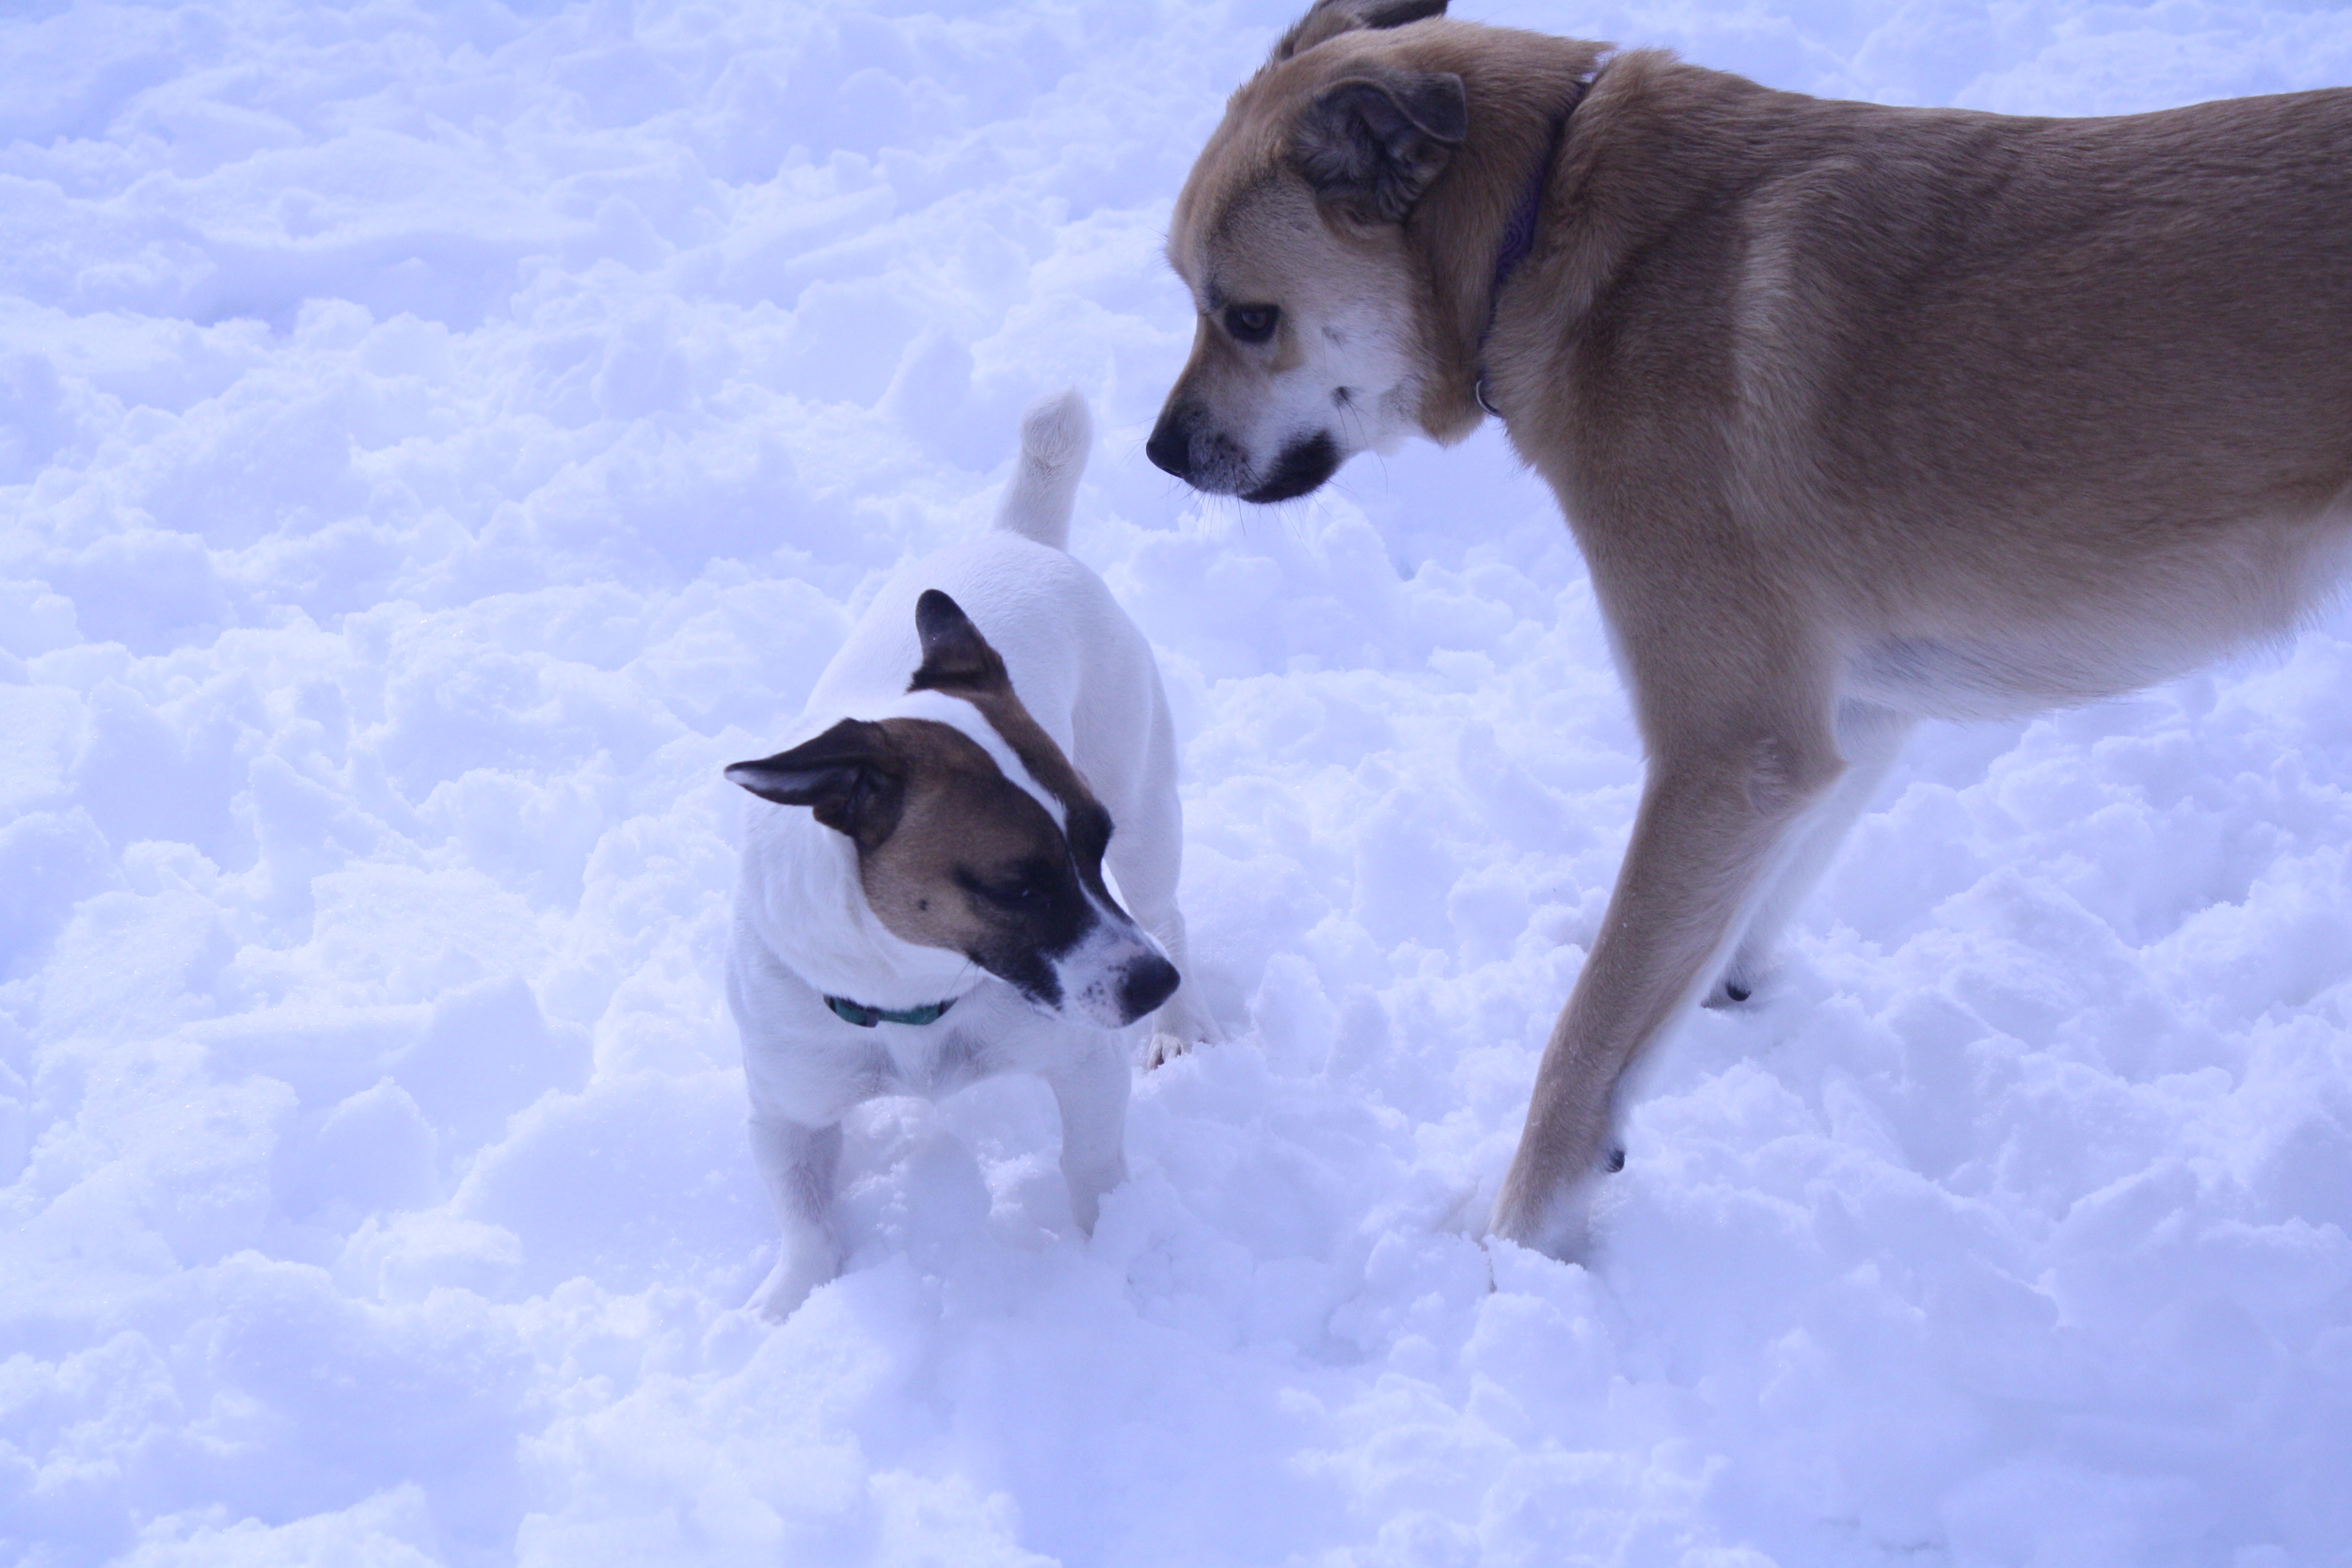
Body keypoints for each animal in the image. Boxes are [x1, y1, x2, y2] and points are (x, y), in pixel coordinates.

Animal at [724, 392, 1223, 1325]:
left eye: (1091, 844)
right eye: (1016, 885)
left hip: (1147, 806)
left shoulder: (1083, 1061)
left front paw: (1116, 1254)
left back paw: (1182, 1024)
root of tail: (1019, 537)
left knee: (1167, 907)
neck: (916, 992)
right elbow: (804, 1218)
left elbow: (1093, 1171)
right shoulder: (786, 1103)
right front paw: (788, 1303)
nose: (1152, 984)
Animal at [1152, 0, 2352, 1259]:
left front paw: (1510, 1244)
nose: (1159, 451)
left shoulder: (1726, 747)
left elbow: (1588, 1037)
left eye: (1246, 317)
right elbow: (1720, 923)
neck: (1549, 227)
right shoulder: (1838, 717)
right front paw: (1718, 992)